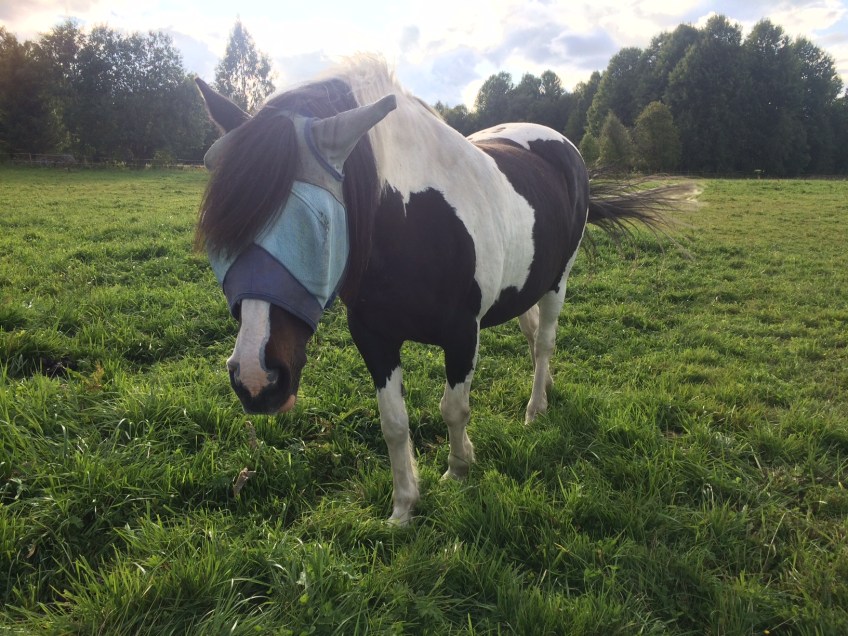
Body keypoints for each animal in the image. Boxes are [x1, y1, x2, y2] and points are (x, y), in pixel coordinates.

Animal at [195, 56, 695, 525]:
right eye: (222, 233)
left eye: (318, 223)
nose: (255, 379)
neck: (411, 220)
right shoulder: (374, 339)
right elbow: (394, 423)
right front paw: (403, 507)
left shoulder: (462, 335)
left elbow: (454, 409)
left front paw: (457, 470)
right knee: (532, 334)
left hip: (558, 281)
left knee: (545, 342)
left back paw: (536, 408)